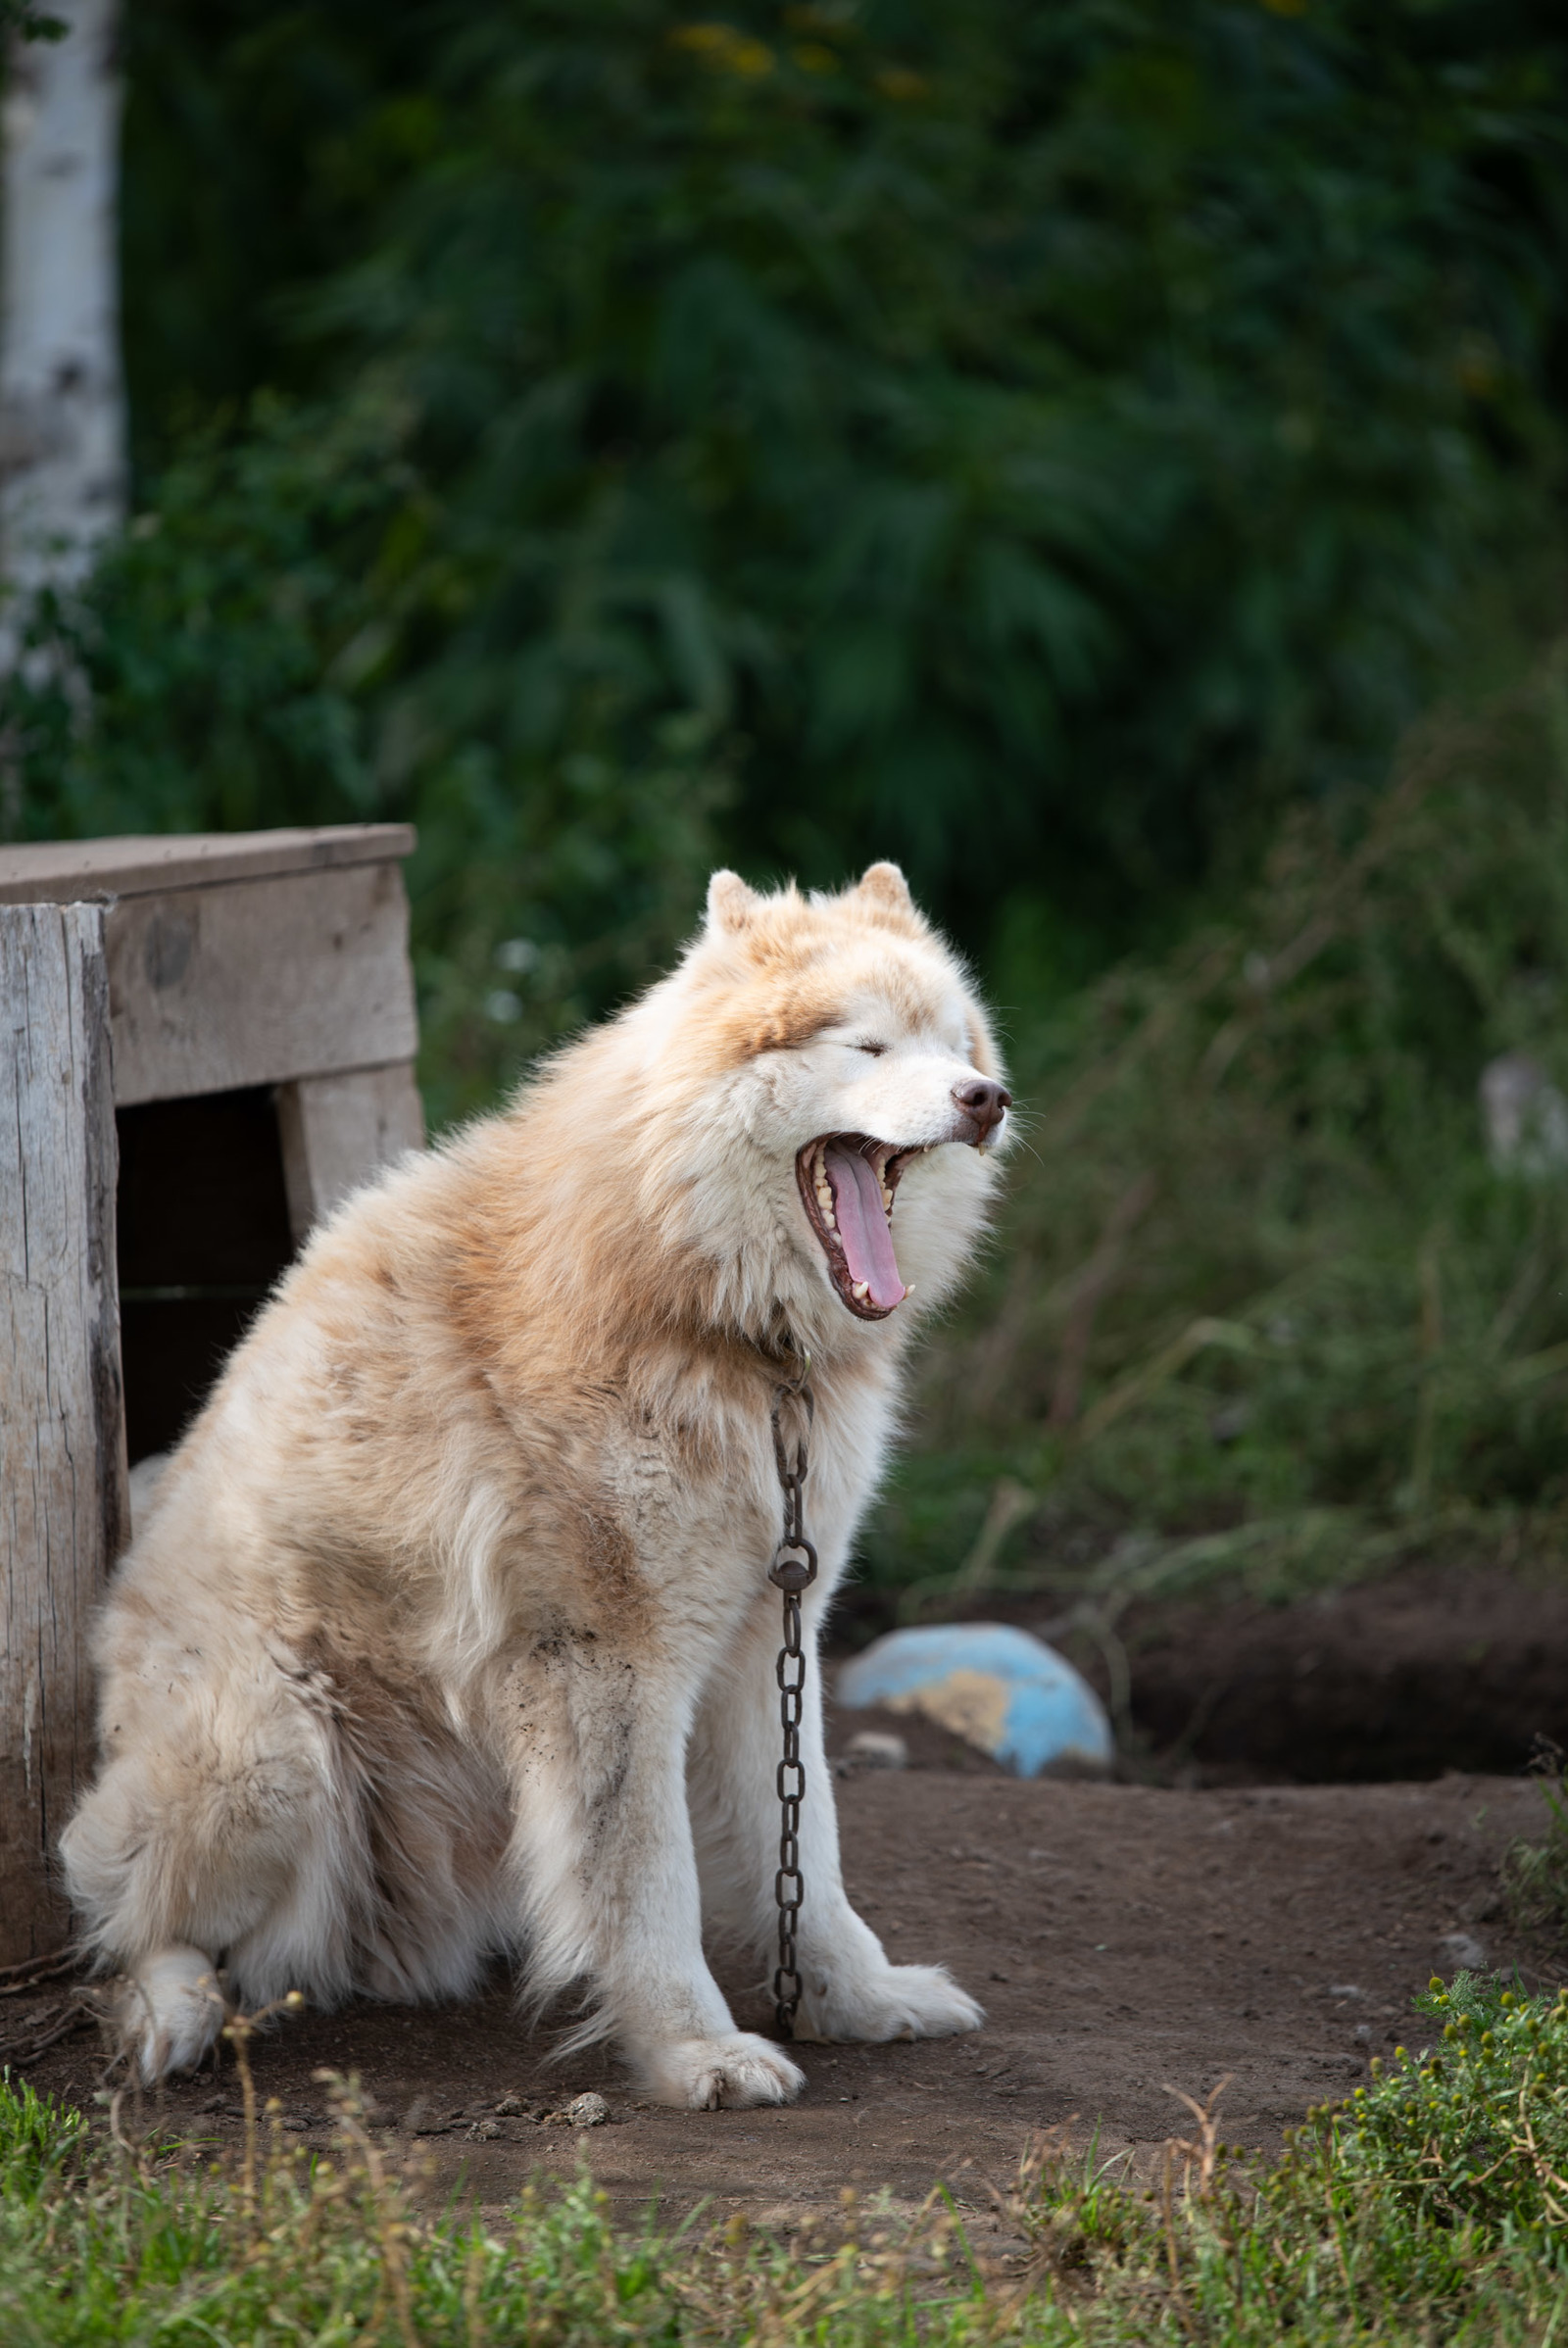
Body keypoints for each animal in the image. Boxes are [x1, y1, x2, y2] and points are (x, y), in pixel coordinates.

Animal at [58, 863, 1018, 2113]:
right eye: (865, 1044)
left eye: (954, 1041)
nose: (985, 1097)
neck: (719, 1319)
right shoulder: (607, 1664)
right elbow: (650, 1885)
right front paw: (697, 2053)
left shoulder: (769, 1638)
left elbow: (806, 1847)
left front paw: (857, 1998)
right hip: (273, 1756)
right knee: (127, 1915)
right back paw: (170, 2013)